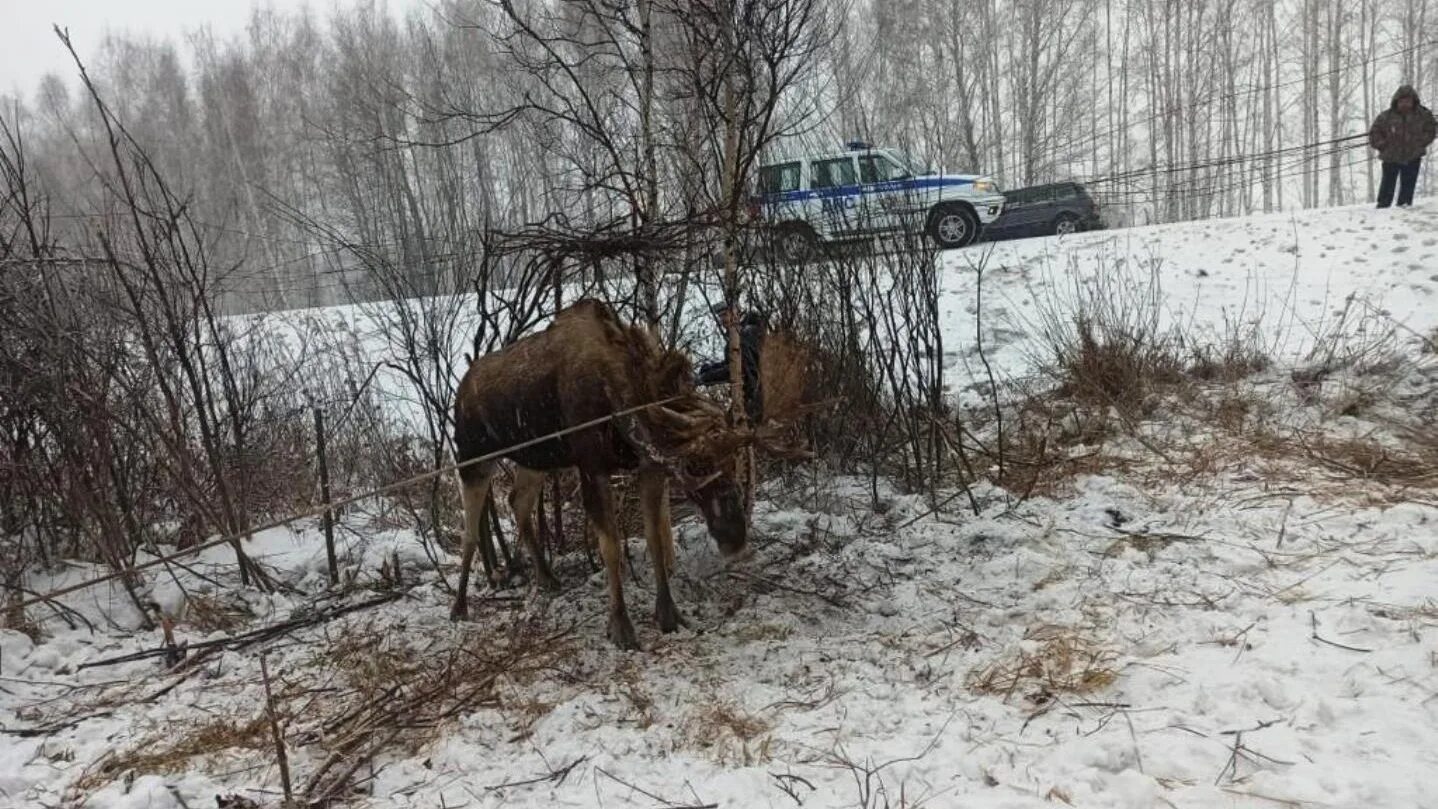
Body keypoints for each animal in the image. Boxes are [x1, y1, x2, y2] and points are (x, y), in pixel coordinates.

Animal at [451, 298, 765, 652]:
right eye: (694, 465)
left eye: (732, 462)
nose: (735, 537)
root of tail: (460, 392)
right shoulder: (592, 468)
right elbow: (611, 547)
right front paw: (621, 627)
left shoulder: (649, 466)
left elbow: (656, 539)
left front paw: (669, 614)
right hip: (473, 459)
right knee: (470, 530)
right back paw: (459, 605)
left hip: (535, 461)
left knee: (517, 501)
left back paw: (546, 577)